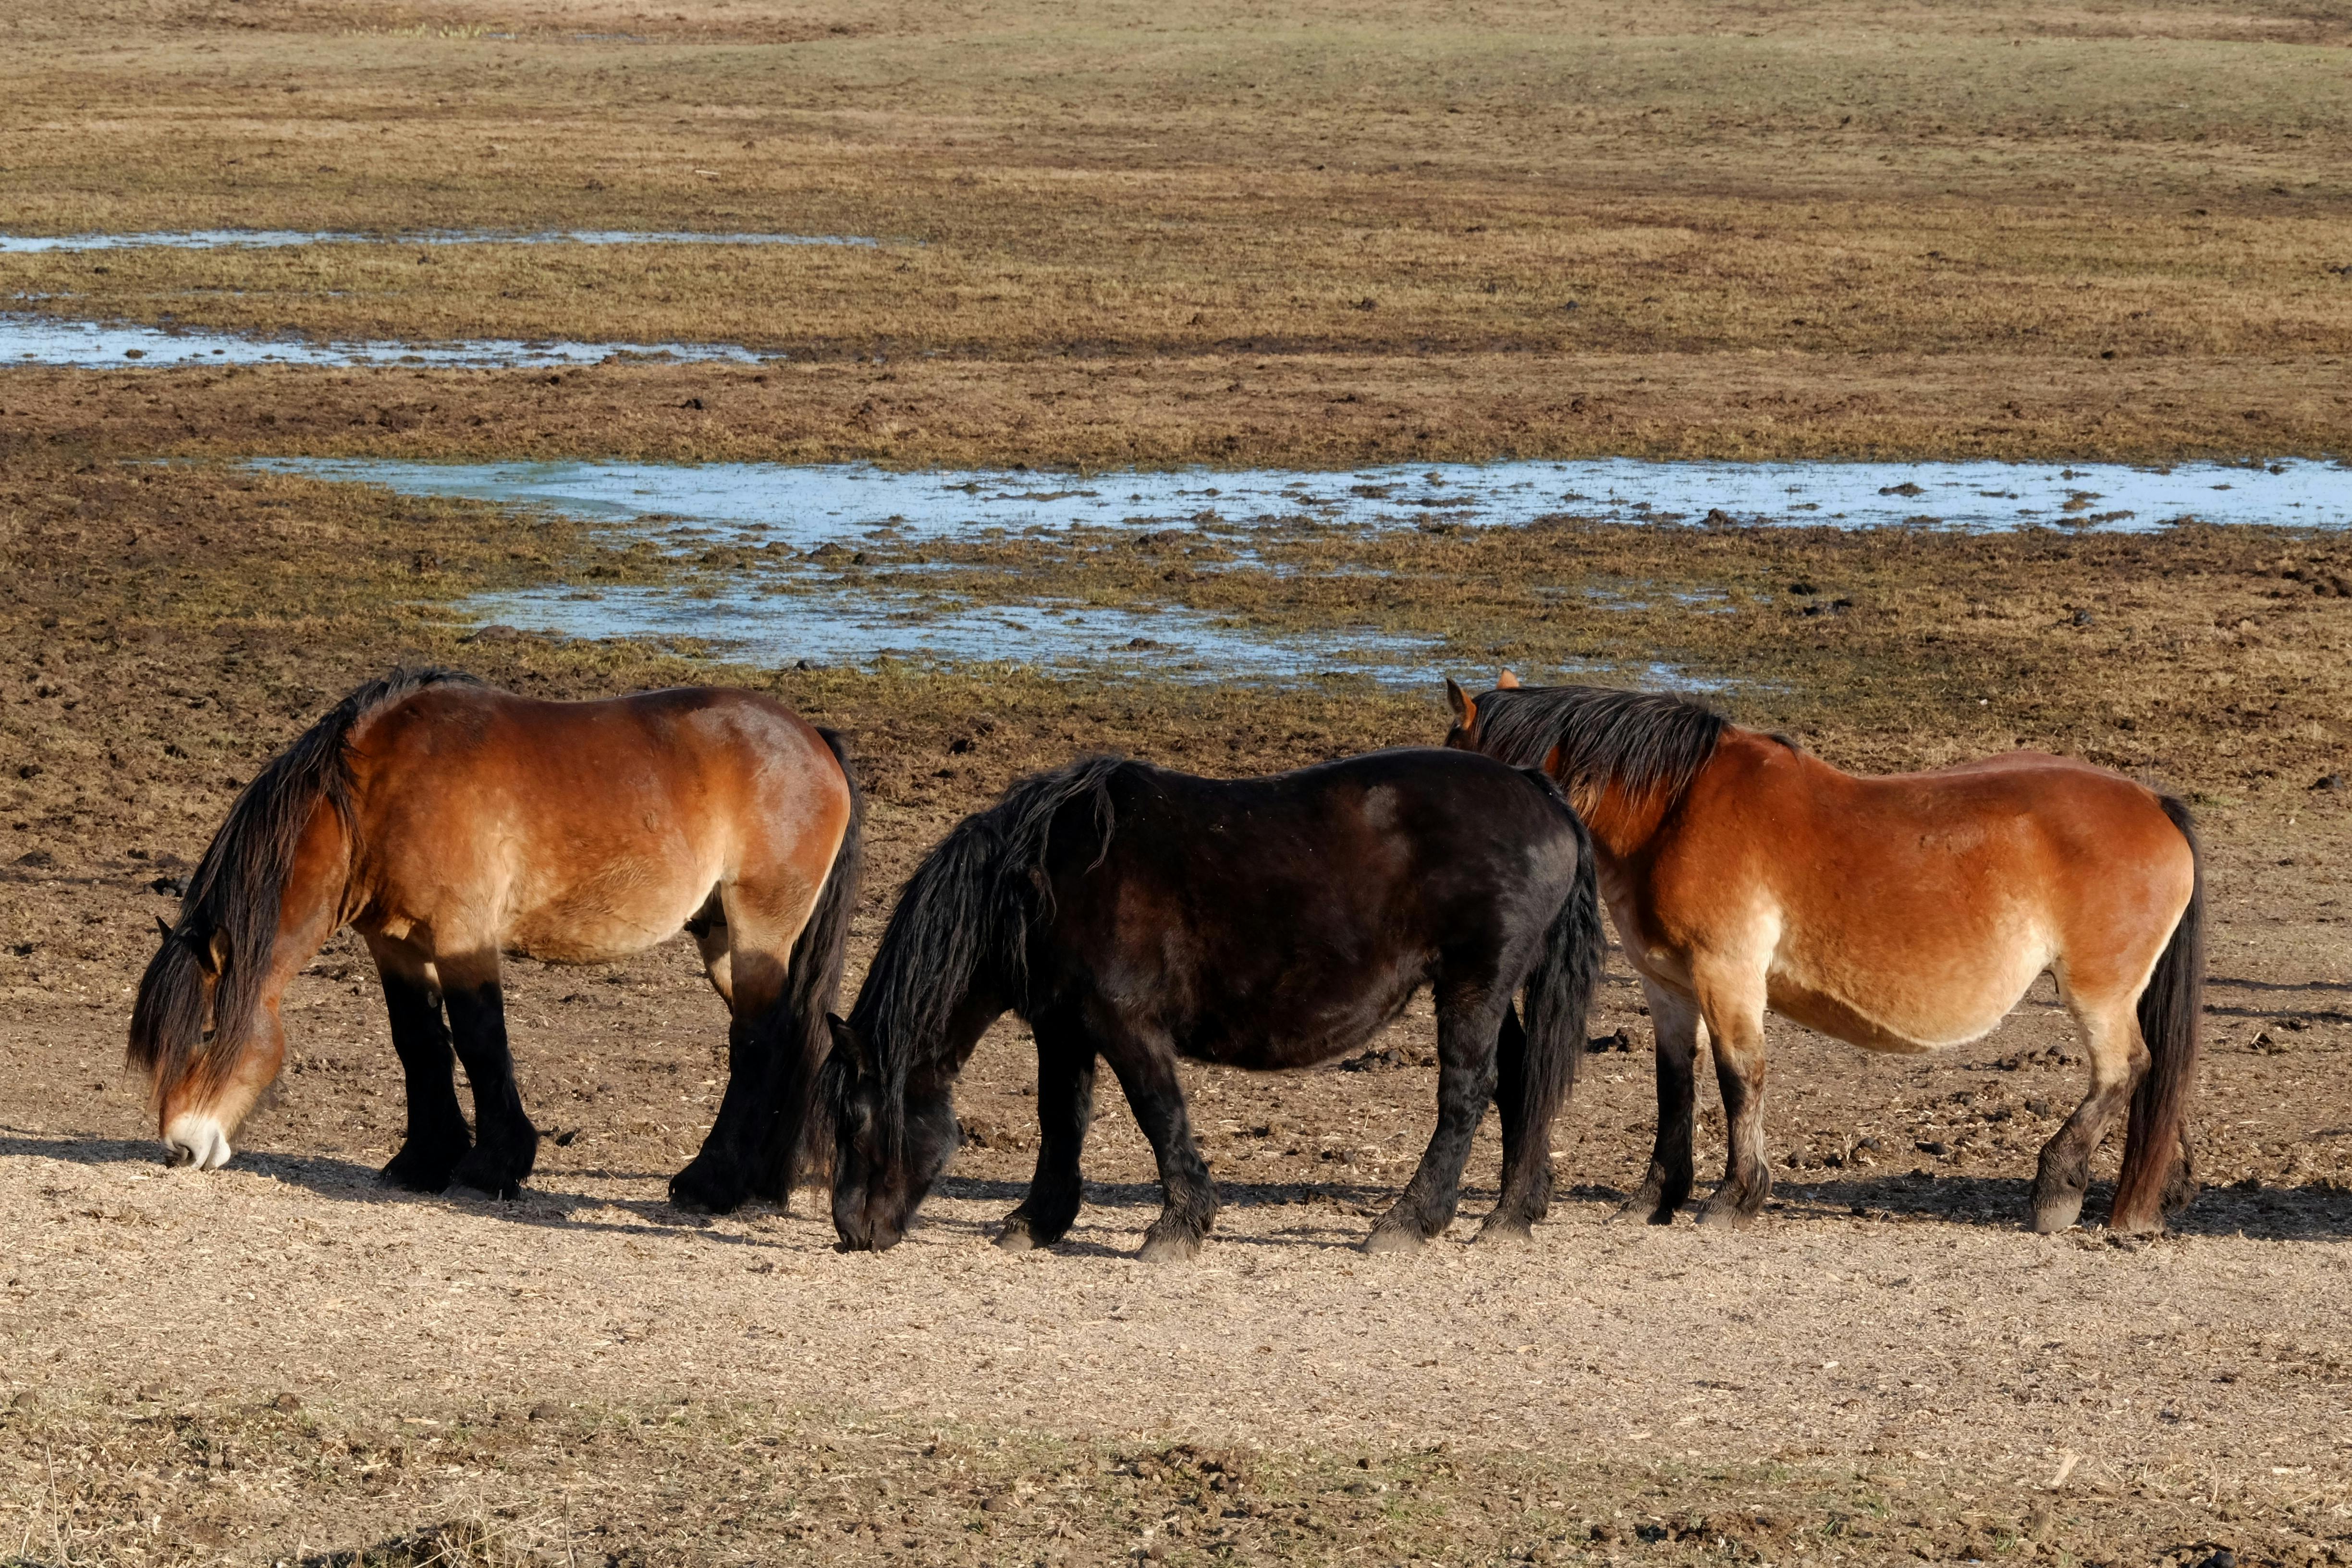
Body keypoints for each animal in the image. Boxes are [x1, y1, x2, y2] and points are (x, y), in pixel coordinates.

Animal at [128, 668, 863, 1210]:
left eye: (206, 1033)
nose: (179, 1148)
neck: (380, 789)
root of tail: (814, 740)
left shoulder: (463, 935)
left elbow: (481, 1041)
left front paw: (495, 1164)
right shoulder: (394, 944)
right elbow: (419, 1044)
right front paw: (423, 1160)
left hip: (759, 931)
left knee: (758, 1044)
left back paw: (712, 1184)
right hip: (721, 940)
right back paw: (759, 1180)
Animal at [822, 747, 1605, 1261]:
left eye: (855, 1121)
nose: (852, 1233)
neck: (1047, 877)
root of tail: (1540, 792)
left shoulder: (1124, 1024)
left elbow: (1158, 1114)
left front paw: (1178, 1226)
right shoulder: (1063, 1028)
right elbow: (1060, 1120)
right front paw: (1038, 1221)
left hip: (1476, 982)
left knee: (1466, 1096)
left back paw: (1409, 1222)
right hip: (1492, 989)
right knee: (1522, 1084)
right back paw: (1511, 1214)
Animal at [1442, 674, 2204, 1235]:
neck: (1675, 812)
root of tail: (2153, 802)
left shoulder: (1728, 976)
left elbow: (1741, 1079)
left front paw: (1735, 1199)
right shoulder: (1670, 987)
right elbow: (1676, 1085)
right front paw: (1655, 1198)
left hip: (2097, 994)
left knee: (2125, 1071)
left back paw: (2056, 1190)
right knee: (2157, 1081)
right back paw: (2155, 1198)